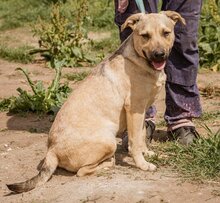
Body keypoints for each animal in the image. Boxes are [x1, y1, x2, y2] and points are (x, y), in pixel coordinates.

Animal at [6, 11, 185, 193]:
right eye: (145, 36)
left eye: (166, 33)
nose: (159, 54)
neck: (139, 60)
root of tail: (51, 151)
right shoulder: (134, 109)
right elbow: (134, 143)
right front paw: (143, 165)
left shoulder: (141, 111)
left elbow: (141, 136)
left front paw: (147, 154)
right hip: (108, 141)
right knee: (82, 171)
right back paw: (108, 162)